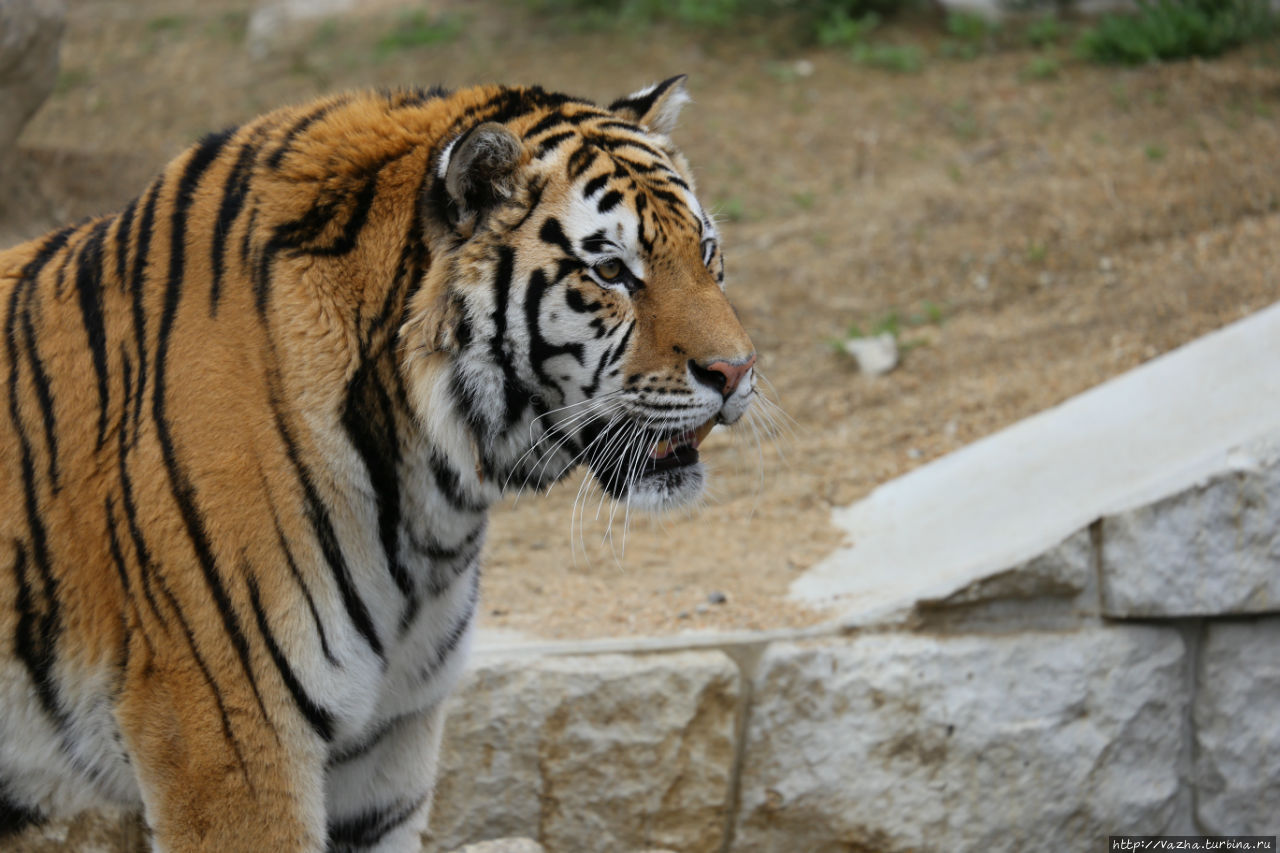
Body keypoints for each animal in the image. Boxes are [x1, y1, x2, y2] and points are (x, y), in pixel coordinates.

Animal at [0, 76, 757, 845]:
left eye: (707, 251)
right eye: (610, 271)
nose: (736, 371)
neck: (431, 499)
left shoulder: (385, 742)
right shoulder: (227, 733)